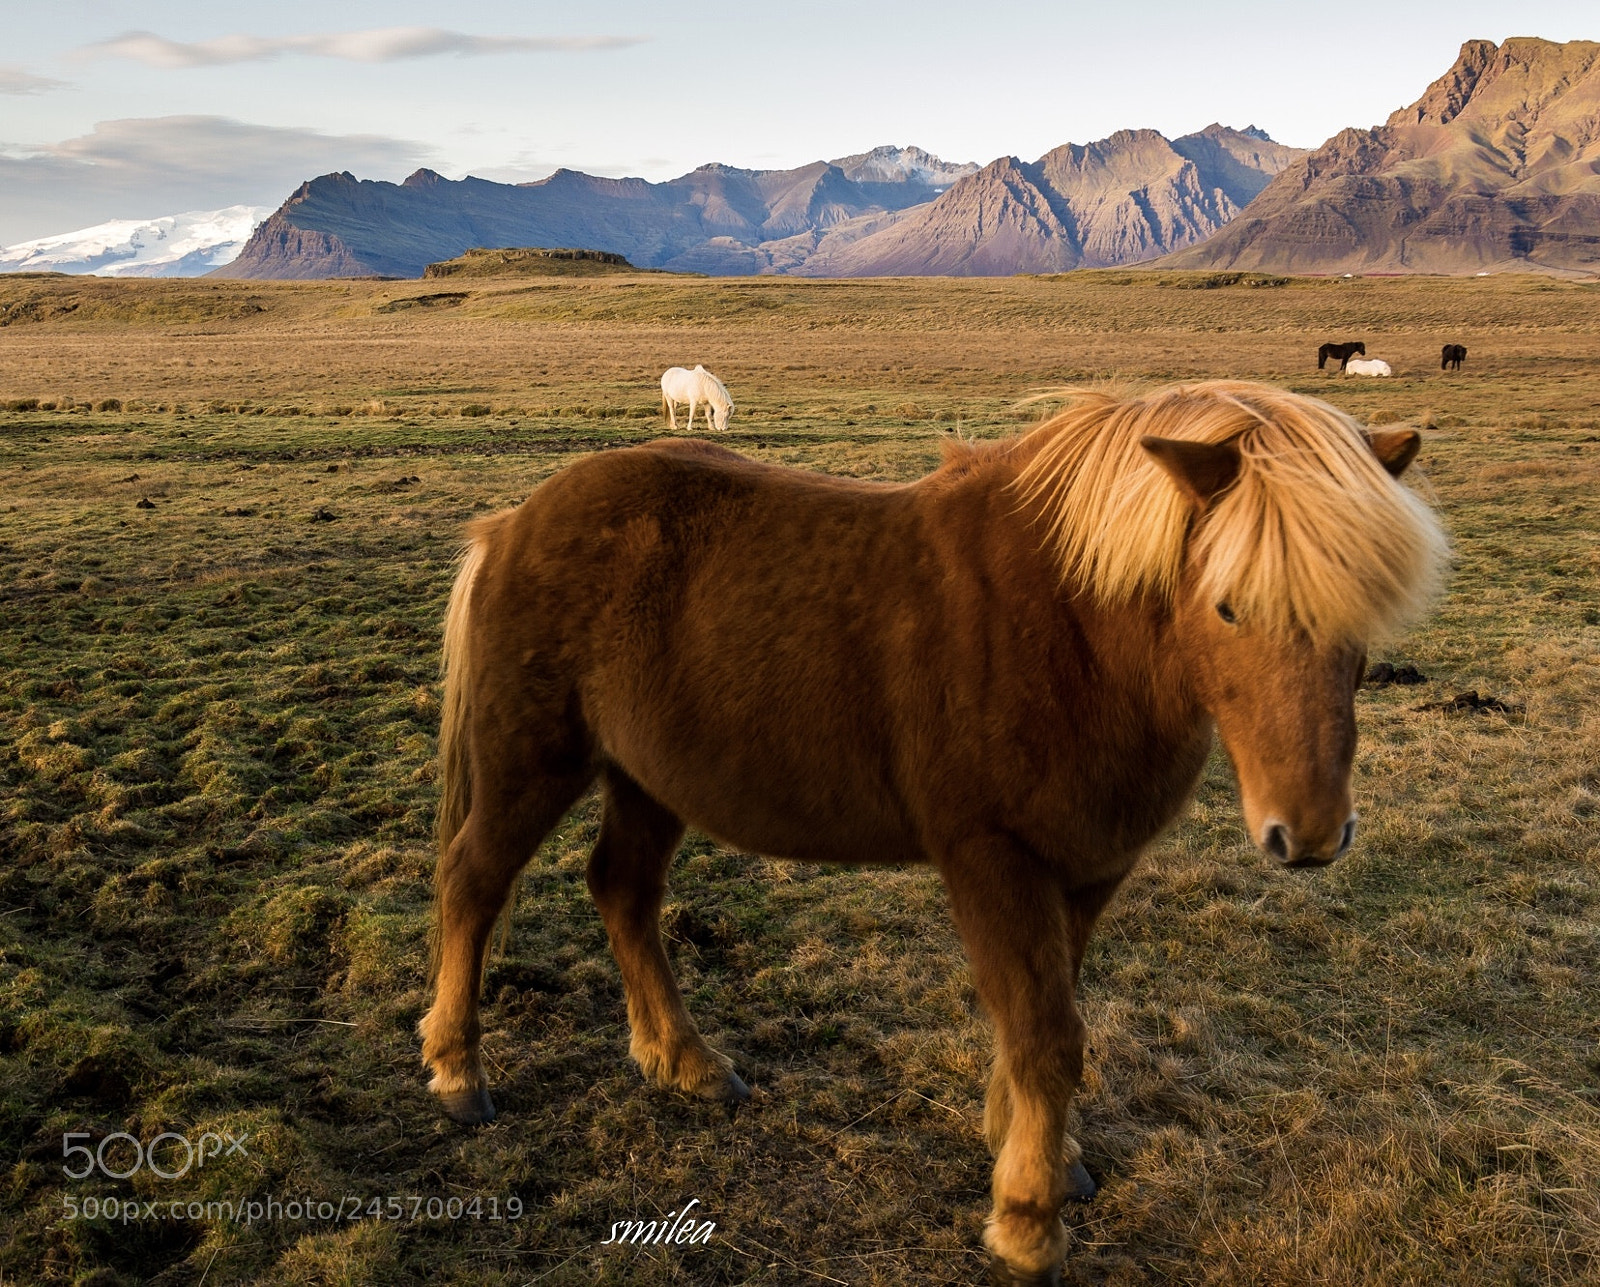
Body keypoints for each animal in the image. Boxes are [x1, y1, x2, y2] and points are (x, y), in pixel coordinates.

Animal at [419, 380, 1445, 1286]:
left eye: (1365, 616)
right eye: (1228, 605)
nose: (1308, 835)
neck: (1075, 625)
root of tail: (514, 523)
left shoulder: (1086, 867)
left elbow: (1046, 1019)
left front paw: (1034, 1154)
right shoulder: (993, 859)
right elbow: (1044, 1033)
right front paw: (1028, 1223)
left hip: (648, 778)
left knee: (623, 891)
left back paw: (686, 1062)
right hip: (532, 759)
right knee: (474, 881)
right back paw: (457, 1071)